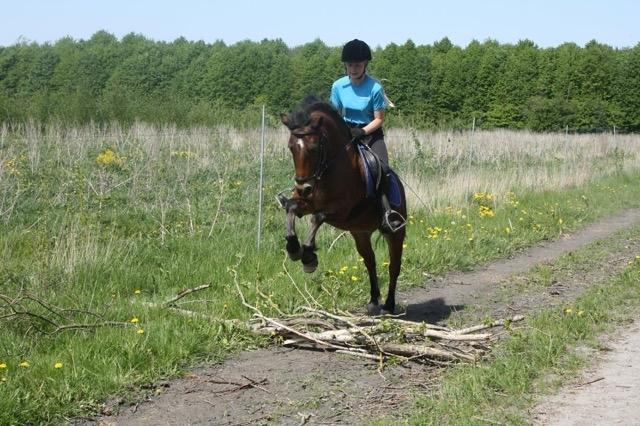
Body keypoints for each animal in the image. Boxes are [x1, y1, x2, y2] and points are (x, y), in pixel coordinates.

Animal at [278, 97, 404, 316]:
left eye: (314, 148)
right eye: (291, 147)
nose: (303, 188)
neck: (328, 169)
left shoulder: (343, 211)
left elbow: (317, 217)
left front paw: (308, 256)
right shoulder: (307, 204)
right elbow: (292, 208)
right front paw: (293, 248)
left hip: (395, 233)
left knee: (394, 266)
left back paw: (389, 304)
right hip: (360, 233)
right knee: (370, 262)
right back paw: (373, 301)